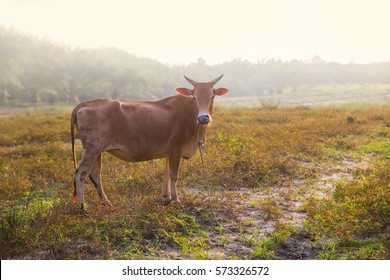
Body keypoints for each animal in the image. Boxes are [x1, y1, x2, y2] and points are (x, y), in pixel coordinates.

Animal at [71, 75, 229, 209]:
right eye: (194, 97)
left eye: (212, 96)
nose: (203, 118)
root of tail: (83, 104)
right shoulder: (175, 150)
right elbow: (174, 175)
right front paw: (176, 199)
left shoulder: (169, 153)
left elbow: (167, 174)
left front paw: (167, 197)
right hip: (91, 150)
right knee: (81, 174)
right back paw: (82, 207)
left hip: (98, 151)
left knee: (95, 175)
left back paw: (106, 203)